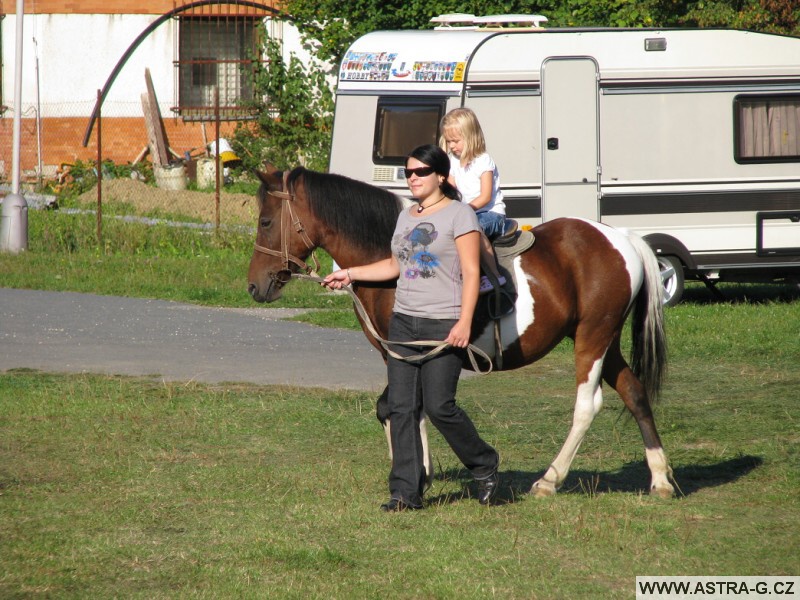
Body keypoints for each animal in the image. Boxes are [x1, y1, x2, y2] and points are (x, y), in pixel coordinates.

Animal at [245, 164, 676, 496]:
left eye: (266, 221)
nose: (254, 285)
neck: (391, 260)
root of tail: (622, 239)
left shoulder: (411, 350)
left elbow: (398, 407)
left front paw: (416, 475)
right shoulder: (405, 354)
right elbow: (401, 407)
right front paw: (419, 473)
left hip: (592, 339)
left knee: (587, 406)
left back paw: (549, 480)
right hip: (604, 339)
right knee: (634, 392)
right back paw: (659, 478)